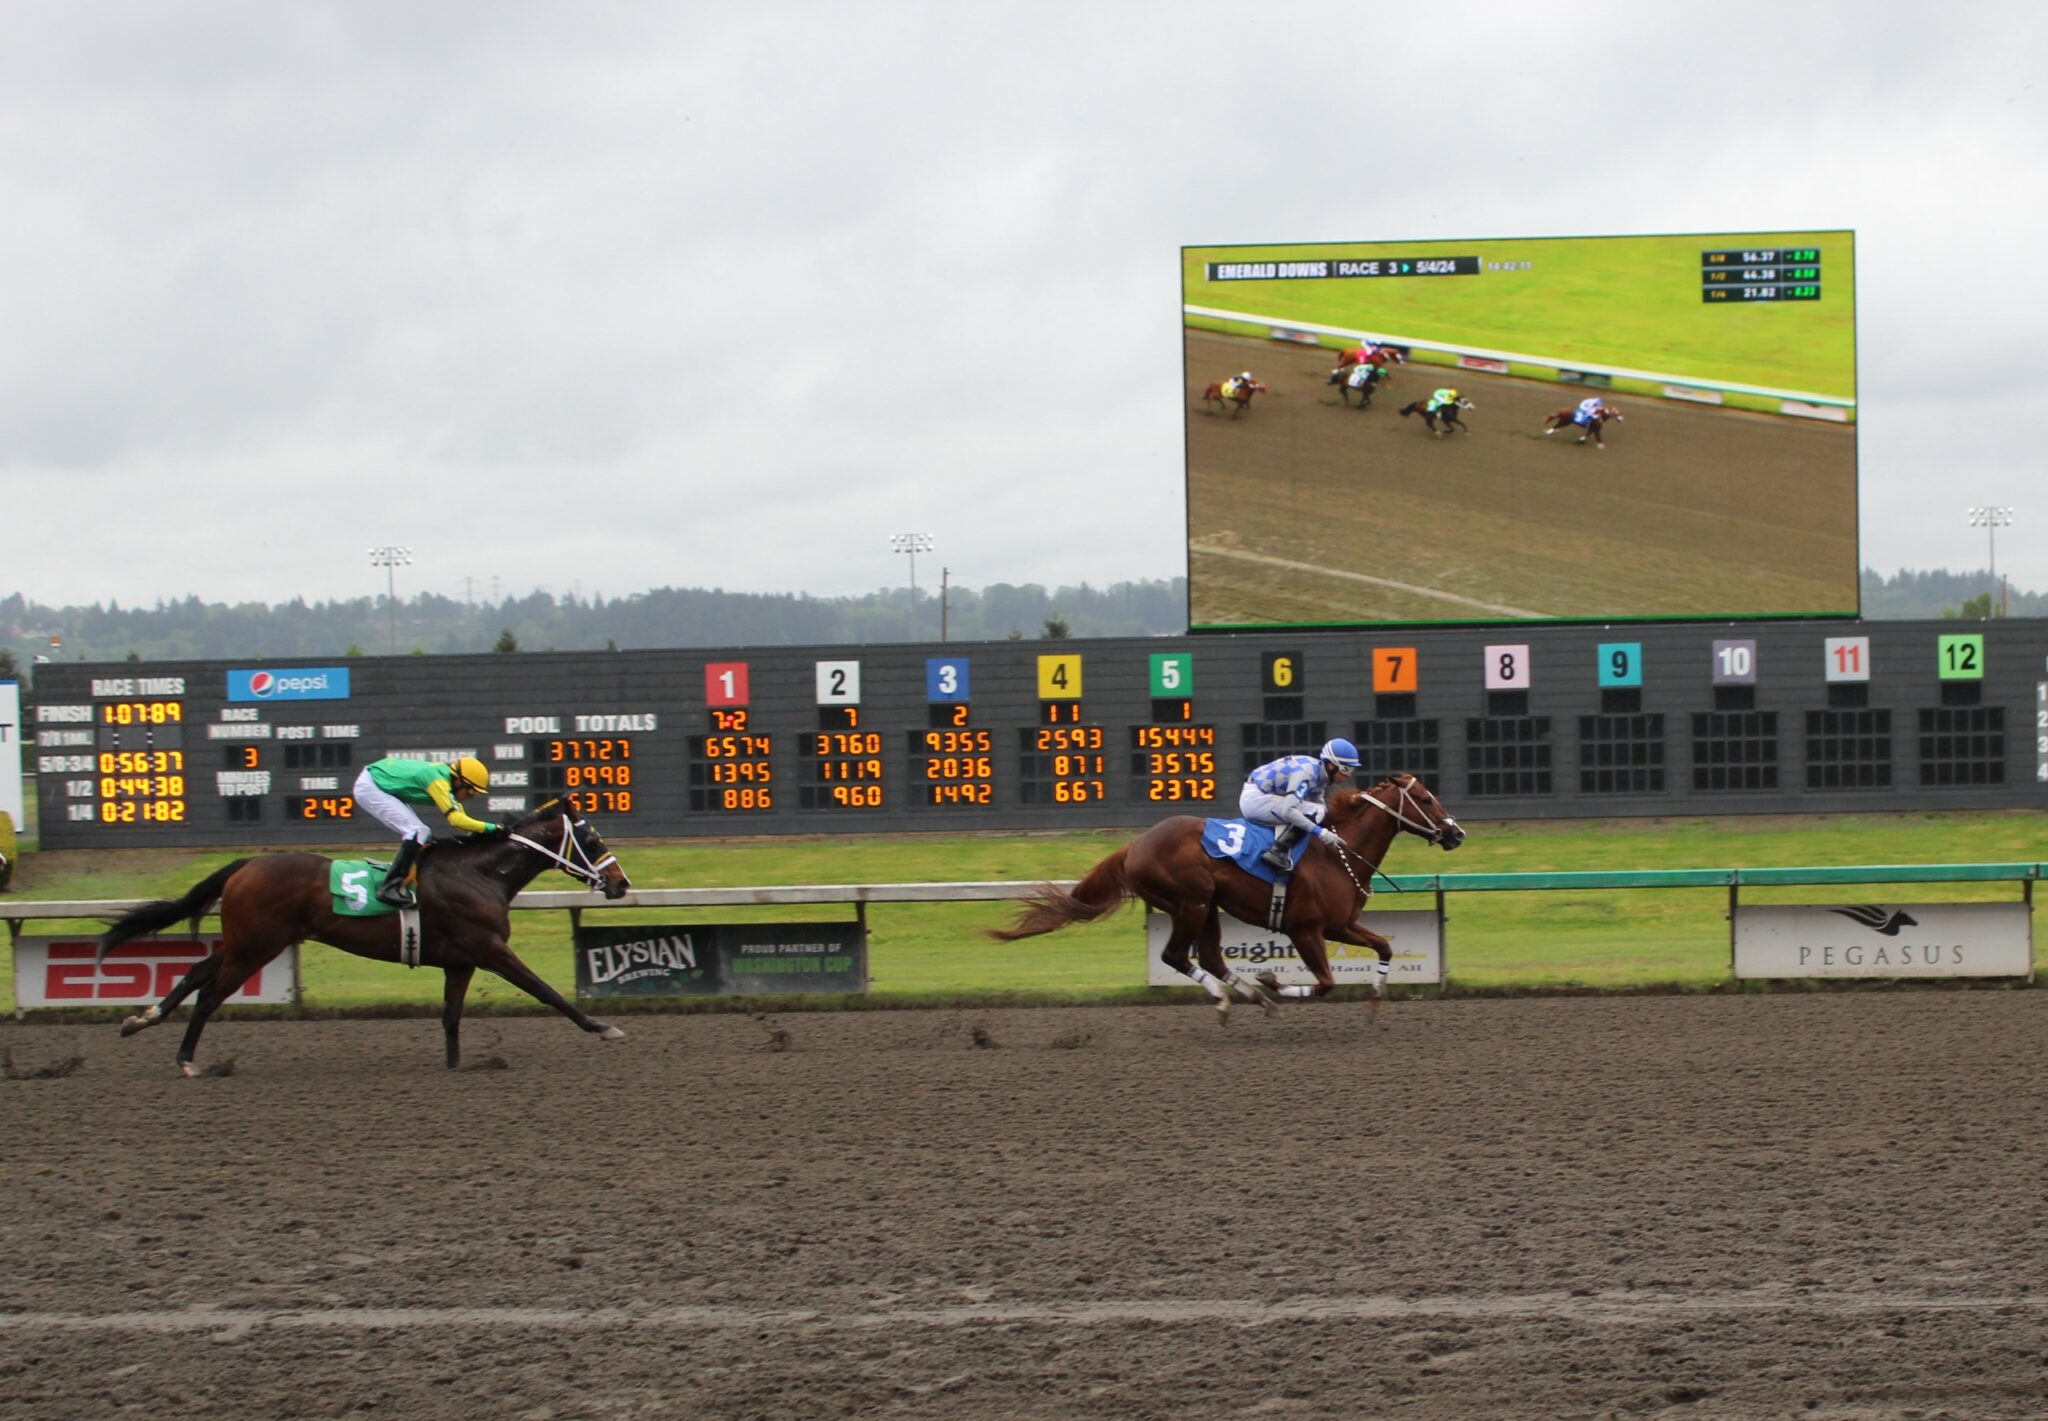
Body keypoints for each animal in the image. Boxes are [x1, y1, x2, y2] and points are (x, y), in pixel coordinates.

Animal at [94, 802, 630, 1081]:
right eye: (594, 841)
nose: (621, 884)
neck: (478, 874)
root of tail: (247, 864)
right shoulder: (489, 949)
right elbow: (547, 991)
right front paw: (603, 1027)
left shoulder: (459, 962)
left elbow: (451, 1017)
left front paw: (456, 1066)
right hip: (257, 946)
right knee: (209, 994)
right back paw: (186, 1060)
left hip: (244, 940)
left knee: (193, 973)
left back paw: (140, 1020)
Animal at [987, 778, 1458, 1023]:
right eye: (1426, 798)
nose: (1456, 833)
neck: (1336, 855)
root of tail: (1135, 844)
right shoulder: (1305, 929)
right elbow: (1325, 983)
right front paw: (1273, 980)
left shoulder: (1341, 925)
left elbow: (1384, 947)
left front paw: (1376, 998)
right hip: (1190, 901)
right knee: (1176, 955)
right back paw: (1232, 996)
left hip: (1208, 905)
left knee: (1209, 956)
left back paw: (1249, 996)